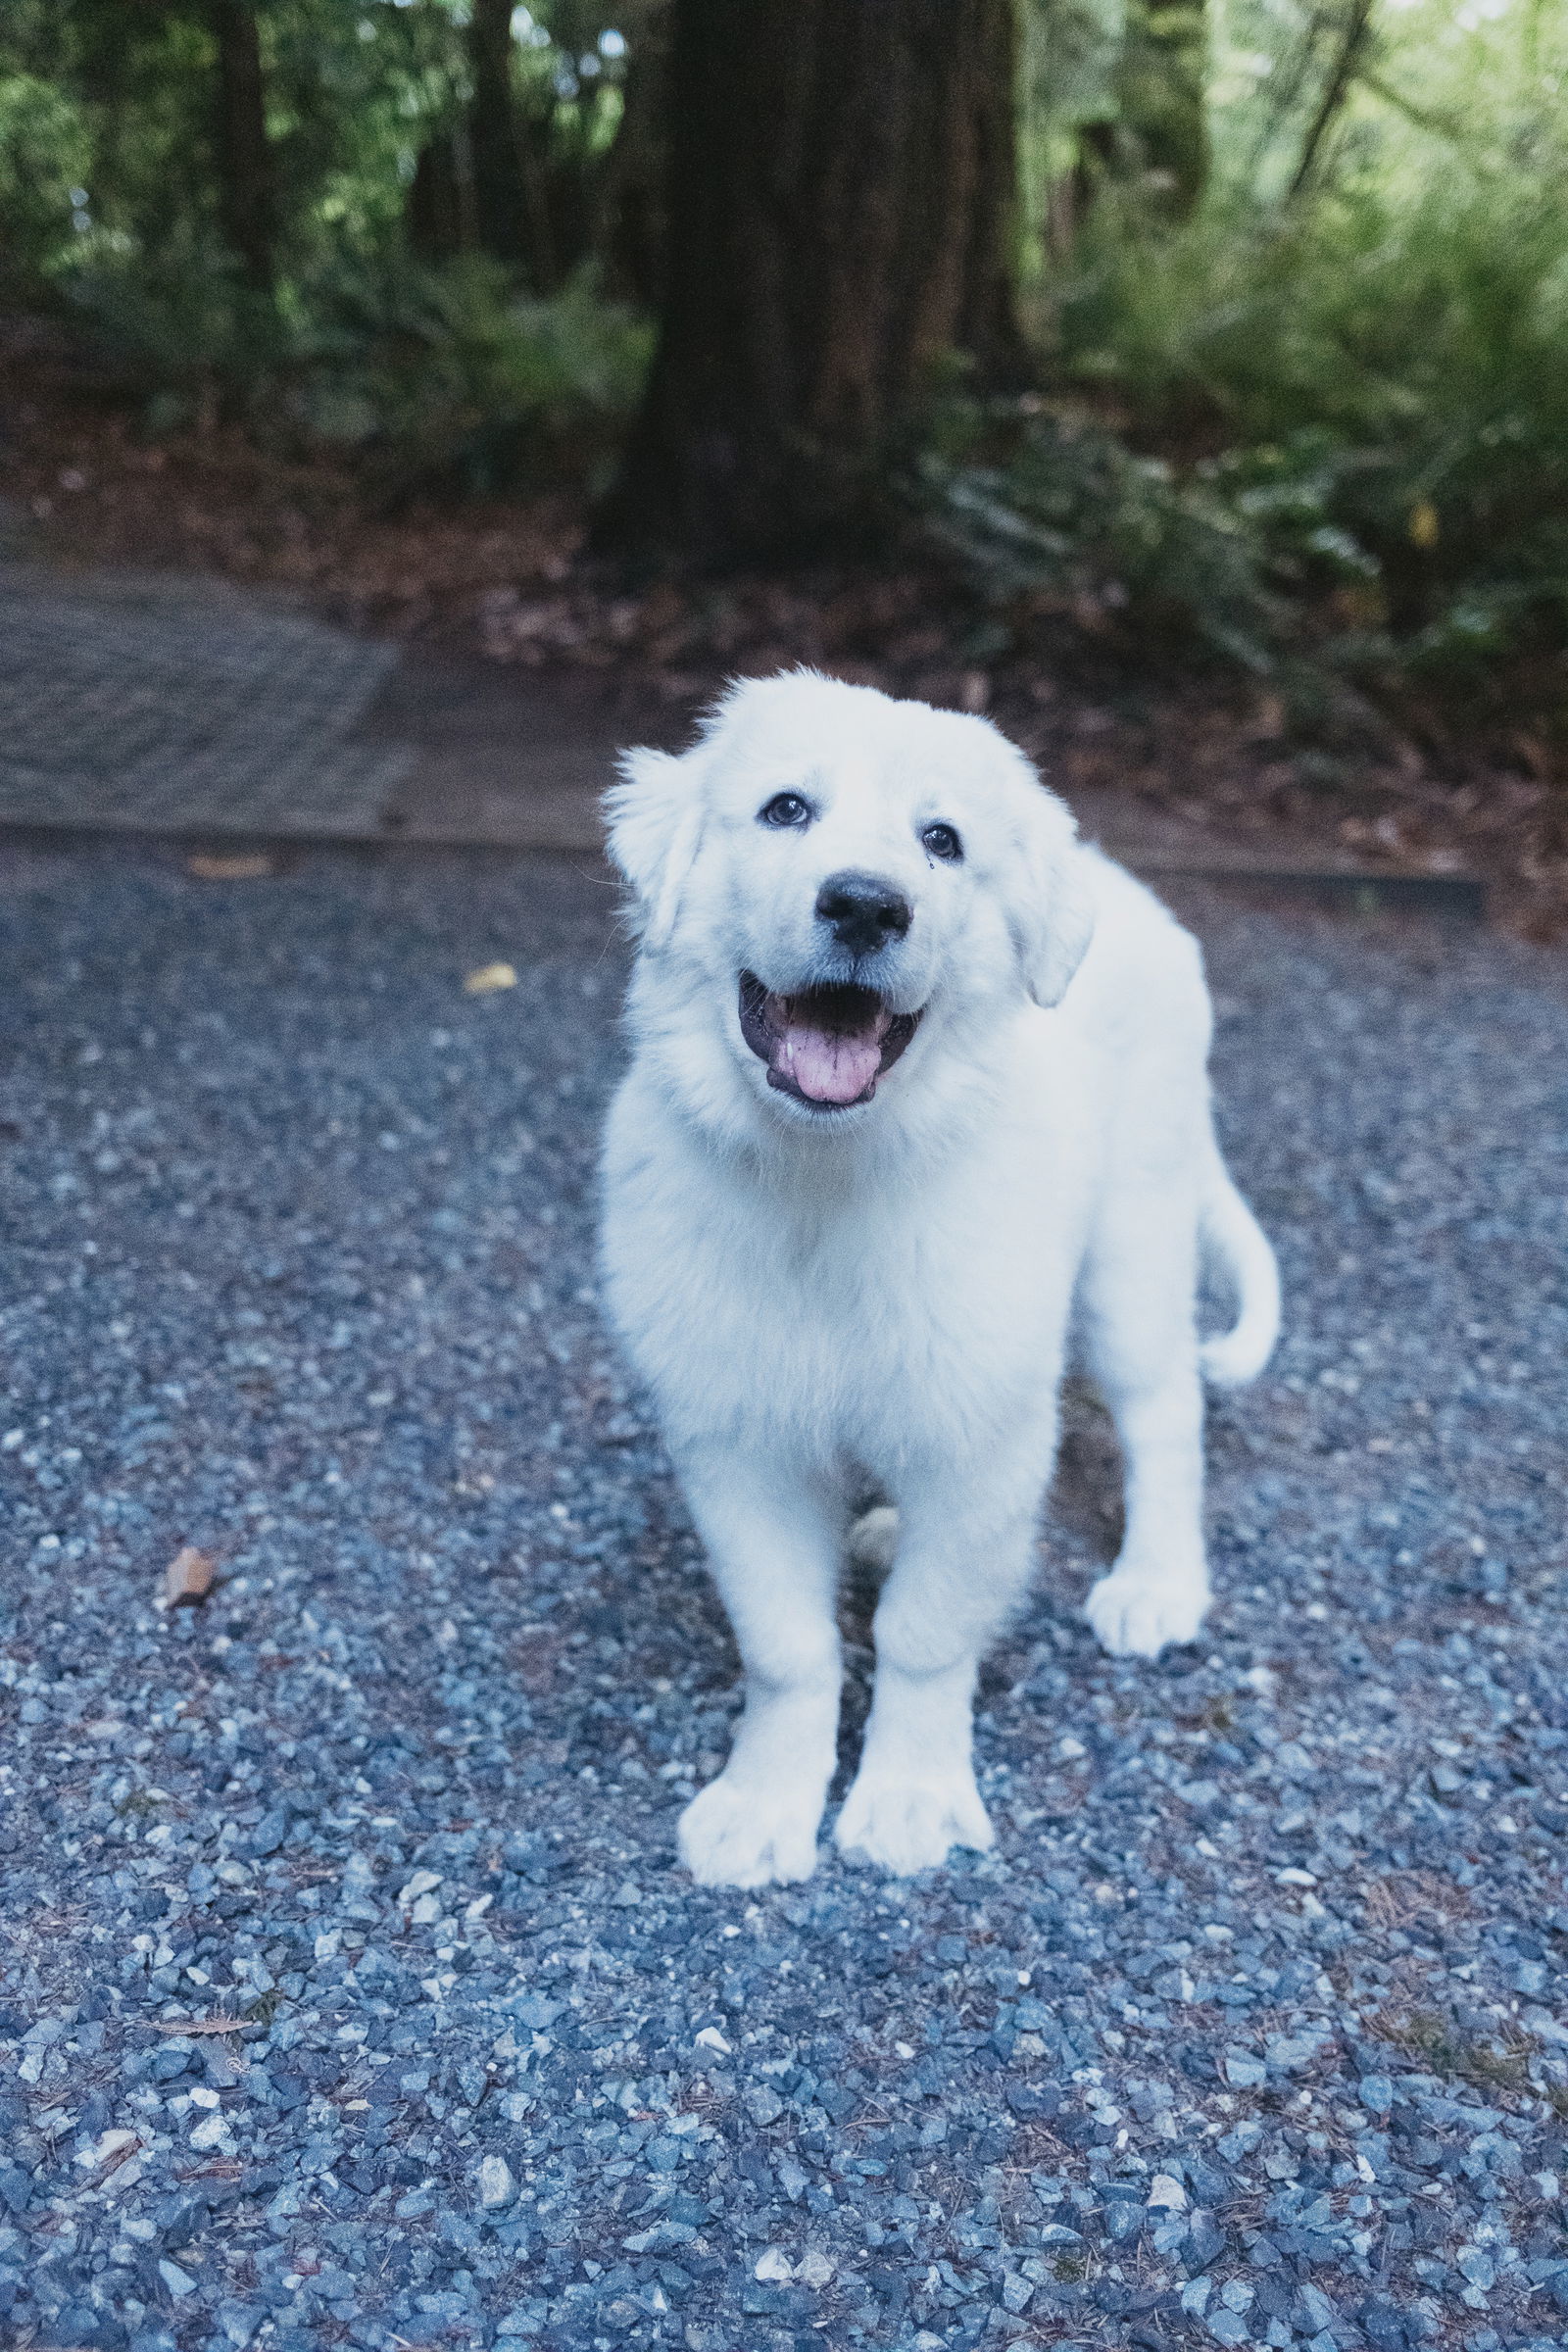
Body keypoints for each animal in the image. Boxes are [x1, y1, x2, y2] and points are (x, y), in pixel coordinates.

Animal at [602, 672, 1278, 1882]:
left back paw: (1156, 1583)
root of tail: (1126, 890)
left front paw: (909, 1798)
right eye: (785, 810)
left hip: (1132, 1247)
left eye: (941, 842)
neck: (825, 1181)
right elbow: (785, 1647)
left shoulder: (981, 1434)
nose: (868, 907)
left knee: (1164, 1415)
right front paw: (763, 1806)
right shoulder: (737, 1443)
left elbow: (925, 1633)